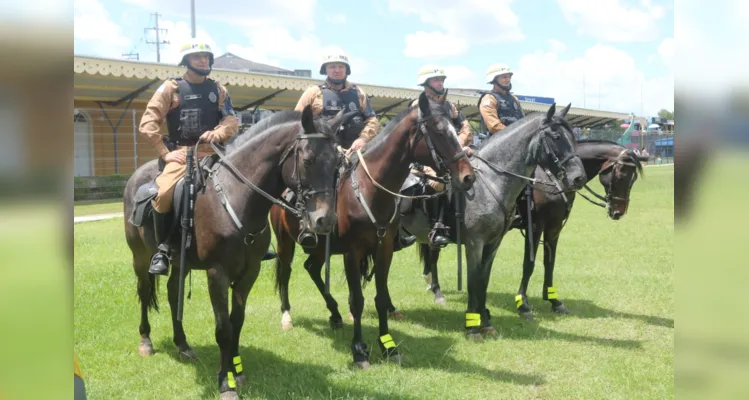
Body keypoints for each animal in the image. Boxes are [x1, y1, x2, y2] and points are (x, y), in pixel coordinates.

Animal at [123, 107, 342, 400]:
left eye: (337, 163)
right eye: (308, 159)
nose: (324, 220)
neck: (236, 197)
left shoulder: (249, 272)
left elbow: (237, 321)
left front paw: (236, 369)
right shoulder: (218, 274)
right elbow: (223, 328)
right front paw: (224, 381)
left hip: (181, 263)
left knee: (172, 293)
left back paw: (182, 344)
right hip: (140, 257)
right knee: (145, 291)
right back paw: (146, 340)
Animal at [268, 92, 474, 368]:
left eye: (456, 129)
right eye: (439, 132)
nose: (468, 177)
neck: (370, 190)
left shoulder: (383, 248)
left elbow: (379, 297)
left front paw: (387, 345)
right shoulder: (352, 253)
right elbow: (357, 300)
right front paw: (359, 350)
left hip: (320, 246)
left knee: (311, 268)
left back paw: (334, 313)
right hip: (285, 242)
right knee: (286, 272)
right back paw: (287, 316)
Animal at [398, 103, 584, 338]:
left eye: (573, 137)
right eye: (556, 136)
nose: (579, 177)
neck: (490, 182)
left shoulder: (494, 243)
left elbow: (483, 280)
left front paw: (485, 321)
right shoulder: (475, 243)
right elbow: (473, 280)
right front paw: (472, 326)